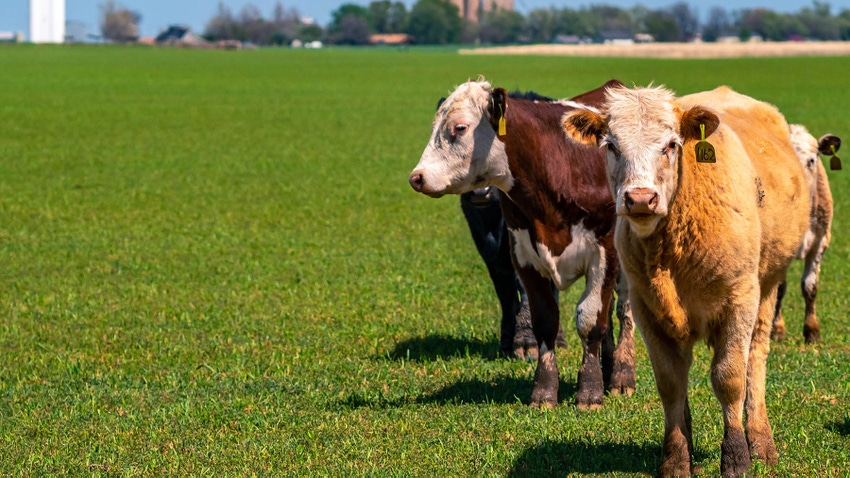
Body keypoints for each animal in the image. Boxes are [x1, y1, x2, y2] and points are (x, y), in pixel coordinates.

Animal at [408, 80, 632, 408]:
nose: (417, 177)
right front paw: (544, 392)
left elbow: (591, 319)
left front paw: (590, 392)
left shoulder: (604, 252)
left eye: (460, 128)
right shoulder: (523, 255)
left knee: (624, 310)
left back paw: (621, 376)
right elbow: (545, 320)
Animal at [564, 84, 808, 476]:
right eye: (611, 145)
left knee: (755, 360)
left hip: (769, 285)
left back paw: (761, 441)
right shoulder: (647, 309)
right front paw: (677, 459)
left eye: (671, 144)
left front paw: (736, 457)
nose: (640, 199)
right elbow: (670, 383)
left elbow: (730, 378)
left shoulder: (740, 298)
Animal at [772, 125, 840, 344]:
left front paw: (812, 331)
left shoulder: (820, 242)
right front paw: (777, 329)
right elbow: (780, 289)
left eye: (812, 160)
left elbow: (810, 287)